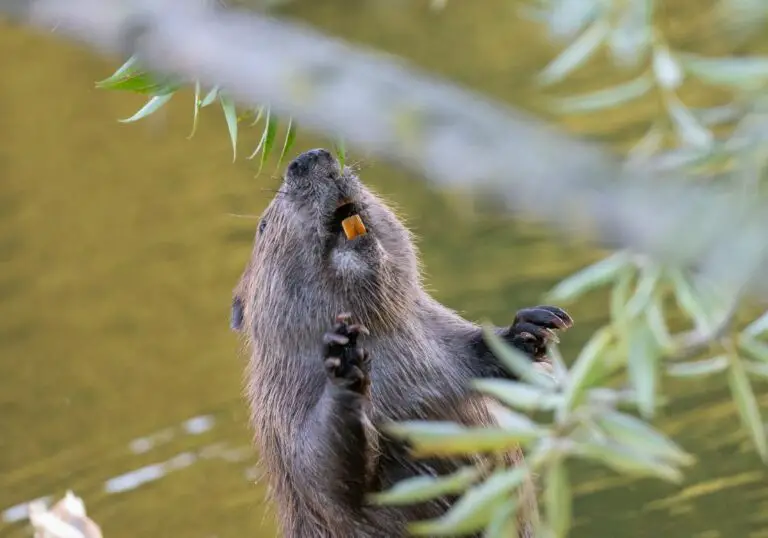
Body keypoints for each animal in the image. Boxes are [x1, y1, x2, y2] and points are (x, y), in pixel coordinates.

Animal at [231, 148, 572, 536]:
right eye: (264, 226)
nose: (310, 156)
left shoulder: (438, 333)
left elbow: (478, 355)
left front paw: (534, 326)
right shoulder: (279, 410)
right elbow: (322, 469)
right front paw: (343, 360)